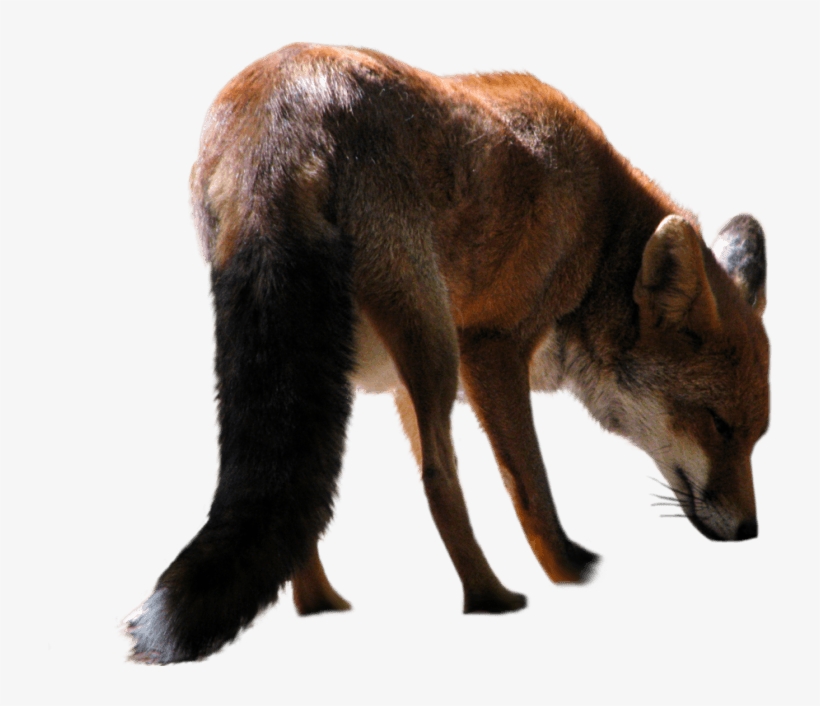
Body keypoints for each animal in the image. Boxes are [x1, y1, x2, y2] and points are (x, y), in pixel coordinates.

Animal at [127, 44, 769, 664]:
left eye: (756, 437)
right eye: (718, 426)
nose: (749, 532)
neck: (599, 238)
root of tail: (279, 115)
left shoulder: (399, 386)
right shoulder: (492, 348)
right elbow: (532, 495)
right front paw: (571, 575)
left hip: (375, 361)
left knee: (310, 493)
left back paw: (322, 605)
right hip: (435, 344)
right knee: (438, 478)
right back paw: (492, 600)